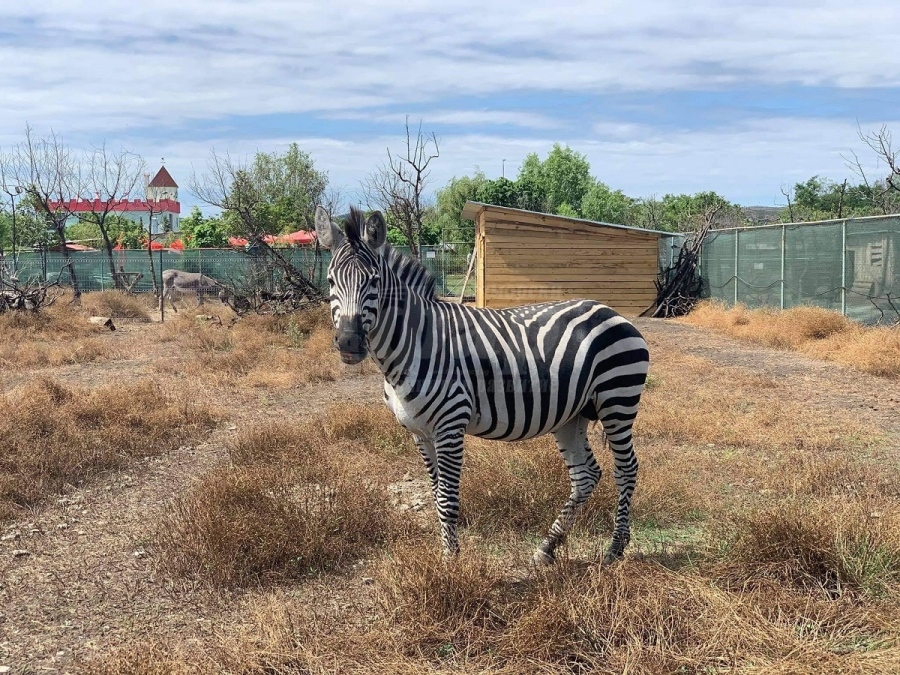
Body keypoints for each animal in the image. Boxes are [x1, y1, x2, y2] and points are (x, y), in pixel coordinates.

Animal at [314, 206, 648, 564]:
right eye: (331, 282)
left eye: (374, 282)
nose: (349, 342)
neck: (415, 343)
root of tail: (610, 311)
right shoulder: (419, 432)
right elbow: (435, 494)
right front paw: (448, 554)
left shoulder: (450, 424)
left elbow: (447, 500)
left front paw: (451, 564)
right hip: (572, 413)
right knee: (585, 475)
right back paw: (547, 547)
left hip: (617, 399)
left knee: (626, 469)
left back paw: (615, 549)